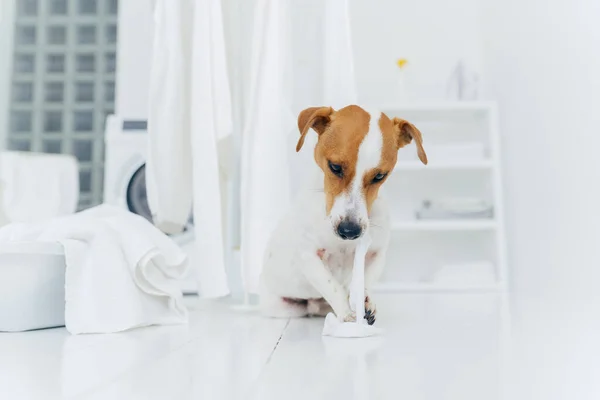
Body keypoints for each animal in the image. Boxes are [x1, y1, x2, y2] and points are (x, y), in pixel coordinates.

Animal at [258, 105, 426, 324]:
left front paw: (365, 302)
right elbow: (332, 286)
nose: (349, 231)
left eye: (379, 176)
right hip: (283, 308)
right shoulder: (308, 255)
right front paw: (347, 315)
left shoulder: (376, 253)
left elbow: (365, 281)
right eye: (335, 167)